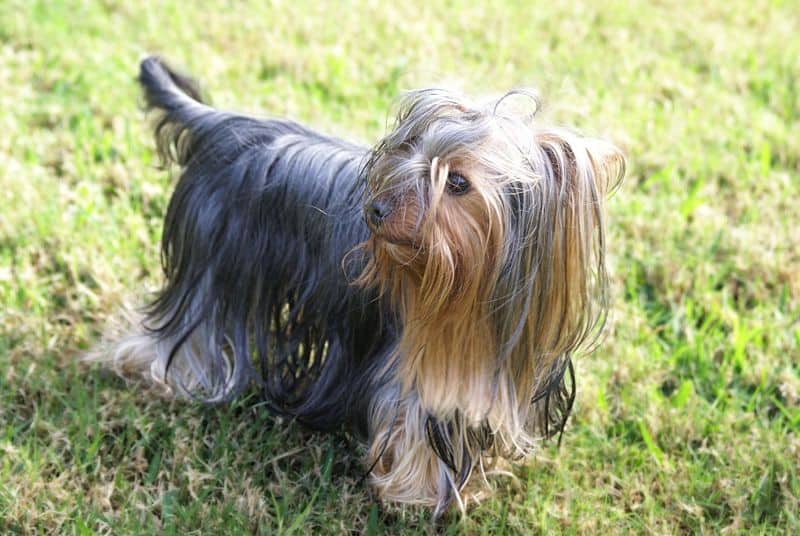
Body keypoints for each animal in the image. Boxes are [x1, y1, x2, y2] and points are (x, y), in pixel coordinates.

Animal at [100, 57, 624, 516]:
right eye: (407, 157)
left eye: (457, 182)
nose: (375, 210)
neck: (472, 301)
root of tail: (223, 124)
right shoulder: (410, 376)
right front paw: (417, 495)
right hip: (215, 270)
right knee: (189, 330)